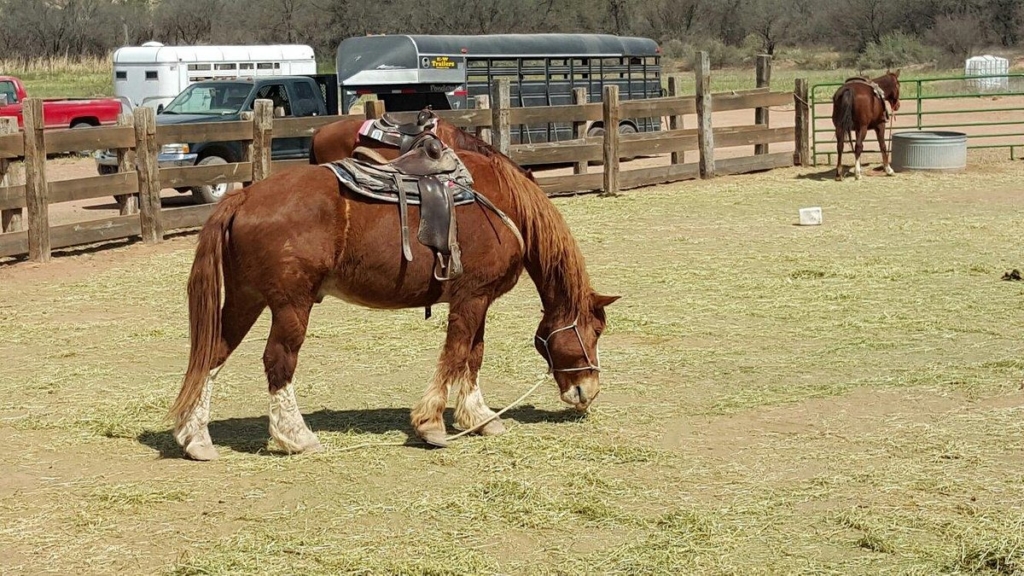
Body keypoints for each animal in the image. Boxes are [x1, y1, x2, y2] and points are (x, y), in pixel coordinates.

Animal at [169, 146, 614, 457]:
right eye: (594, 331)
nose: (587, 392)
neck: (502, 203)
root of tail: (242, 198)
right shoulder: (470, 298)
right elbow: (456, 354)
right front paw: (431, 423)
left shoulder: (478, 298)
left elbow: (474, 355)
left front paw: (479, 417)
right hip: (290, 305)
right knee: (279, 360)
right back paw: (296, 436)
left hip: (244, 299)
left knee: (212, 356)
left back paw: (196, 439)